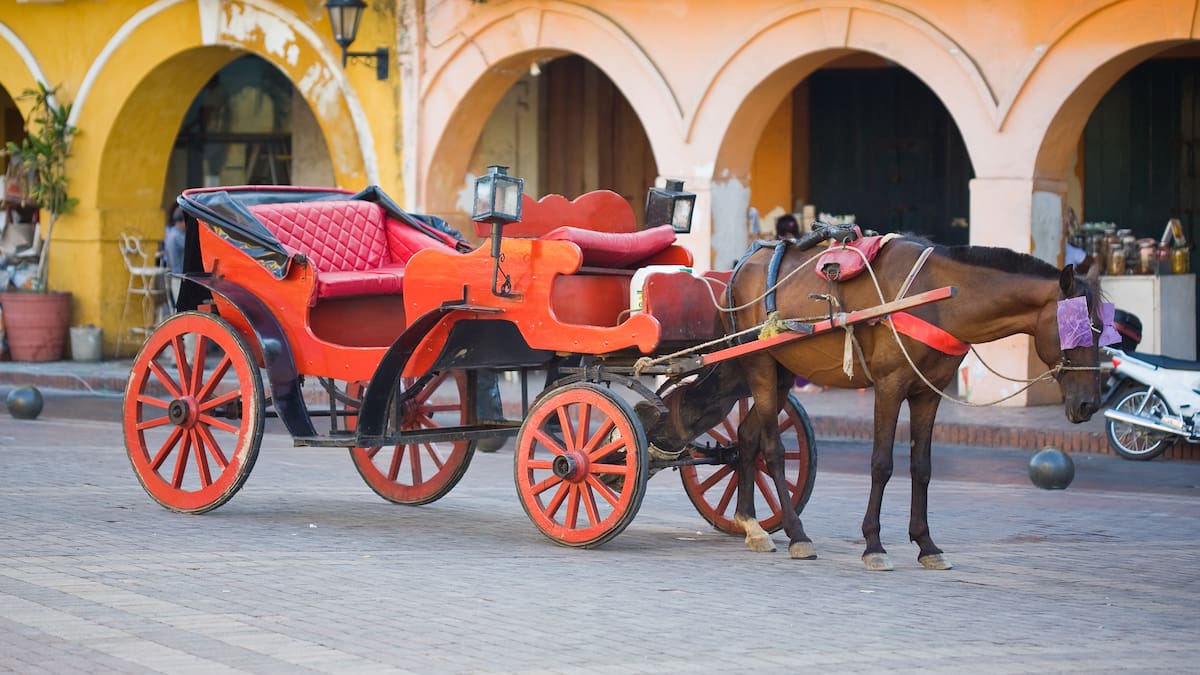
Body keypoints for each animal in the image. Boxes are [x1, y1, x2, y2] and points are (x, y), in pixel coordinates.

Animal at [646, 229, 1107, 571]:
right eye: (1078, 329)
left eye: (1103, 328)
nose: (1089, 405)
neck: (937, 298)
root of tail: (742, 265)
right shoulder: (889, 385)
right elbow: (882, 464)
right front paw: (874, 545)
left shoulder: (927, 393)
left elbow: (921, 467)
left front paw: (926, 544)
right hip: (759, 362)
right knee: (772, 450)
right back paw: (797, 534)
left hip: (779, 372)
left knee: (746, 437)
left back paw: (751, 524)